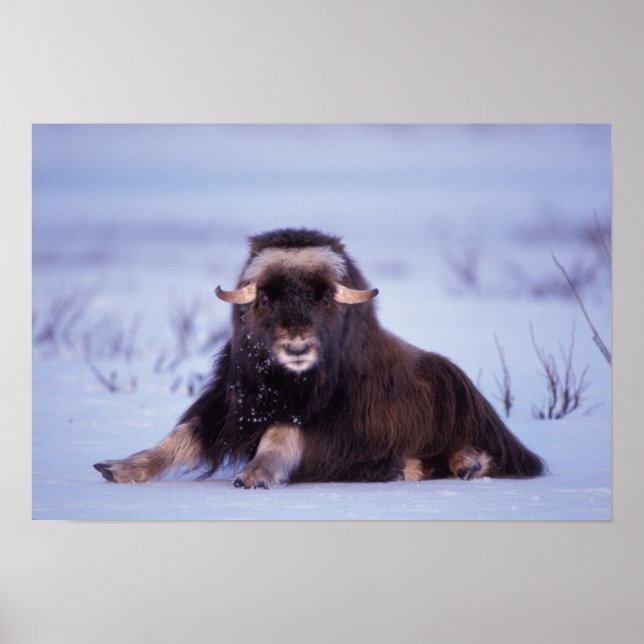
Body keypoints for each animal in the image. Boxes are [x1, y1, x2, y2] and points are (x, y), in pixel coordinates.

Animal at [94, 228, 544, 488]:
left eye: (324, 297)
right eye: (265, 298)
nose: (297, 347)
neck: (285, 383)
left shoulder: (336, 428)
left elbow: (282, 432)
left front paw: (254, 475)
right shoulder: (228, 406)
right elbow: (181, 436)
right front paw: (117, 467)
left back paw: (462, 464)